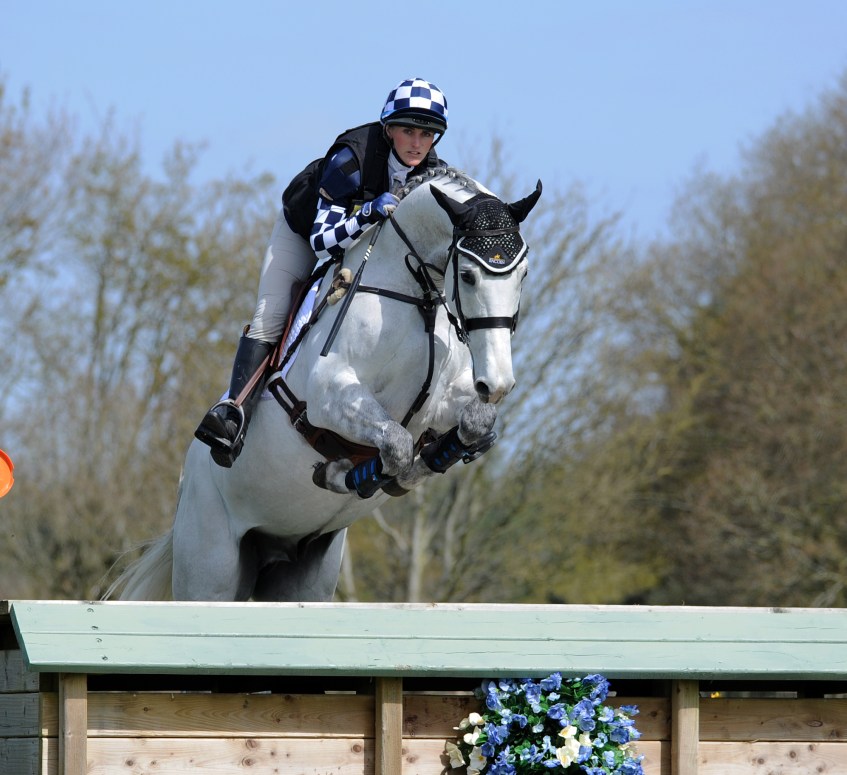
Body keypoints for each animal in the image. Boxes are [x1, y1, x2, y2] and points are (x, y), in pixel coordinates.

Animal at [109, 166, 541, 602]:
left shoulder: (441, 403)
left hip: (302, 577)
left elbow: (474, 422)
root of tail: (185, 484)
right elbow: (396, 446)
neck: (413, 296)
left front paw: (437, 455)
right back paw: (229, 429)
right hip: (209, 564)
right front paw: (348, 475)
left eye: (523, 274)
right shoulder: (328, 396)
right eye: (467, 276)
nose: (498, 382)